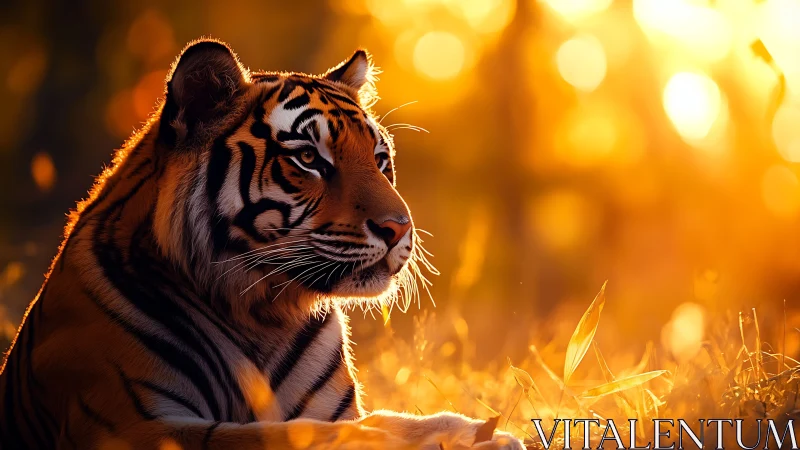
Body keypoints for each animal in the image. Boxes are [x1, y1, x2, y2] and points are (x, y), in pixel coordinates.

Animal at [0, 39, 524, 449]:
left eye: (379, 158)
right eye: (309, 158)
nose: (400, 229)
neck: (262, 312)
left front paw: (481, 433)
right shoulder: (131, 424)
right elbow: (272, 435)